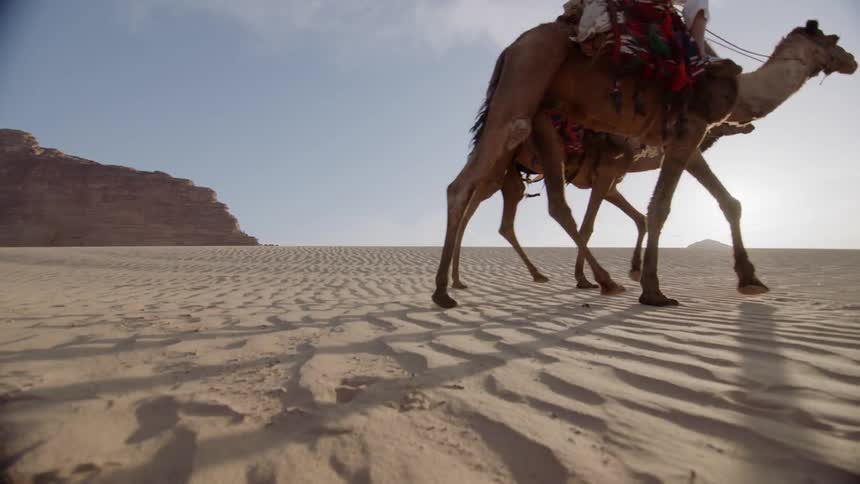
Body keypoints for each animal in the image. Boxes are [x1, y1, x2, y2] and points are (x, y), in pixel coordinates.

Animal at [433, 18, 856, 309]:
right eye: (834, 42)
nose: (852, 60)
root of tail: (510, 48)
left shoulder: (674, 146)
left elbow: (723, 202)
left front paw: (749, 277)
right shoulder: (658, 147)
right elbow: (655, 208)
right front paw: (650, 289)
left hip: (532, 135)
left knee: (535, 205)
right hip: (522, 93)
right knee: (467, 190)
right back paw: (448, 288)